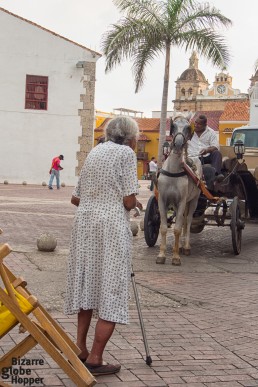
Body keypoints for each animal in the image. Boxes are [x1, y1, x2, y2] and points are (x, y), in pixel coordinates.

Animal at [156, 115, 203, 266]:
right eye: (173, 126)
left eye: (188, 127)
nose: (177, 144)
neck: (173, 171)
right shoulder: (163, 200)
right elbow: (164, 227)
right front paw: (161, 255)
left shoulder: (182, 201)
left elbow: (177, 228)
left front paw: (176, 257)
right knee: (182, 220)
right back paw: (181, 246)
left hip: (193, 200)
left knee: (187, 221)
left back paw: (186, 246)